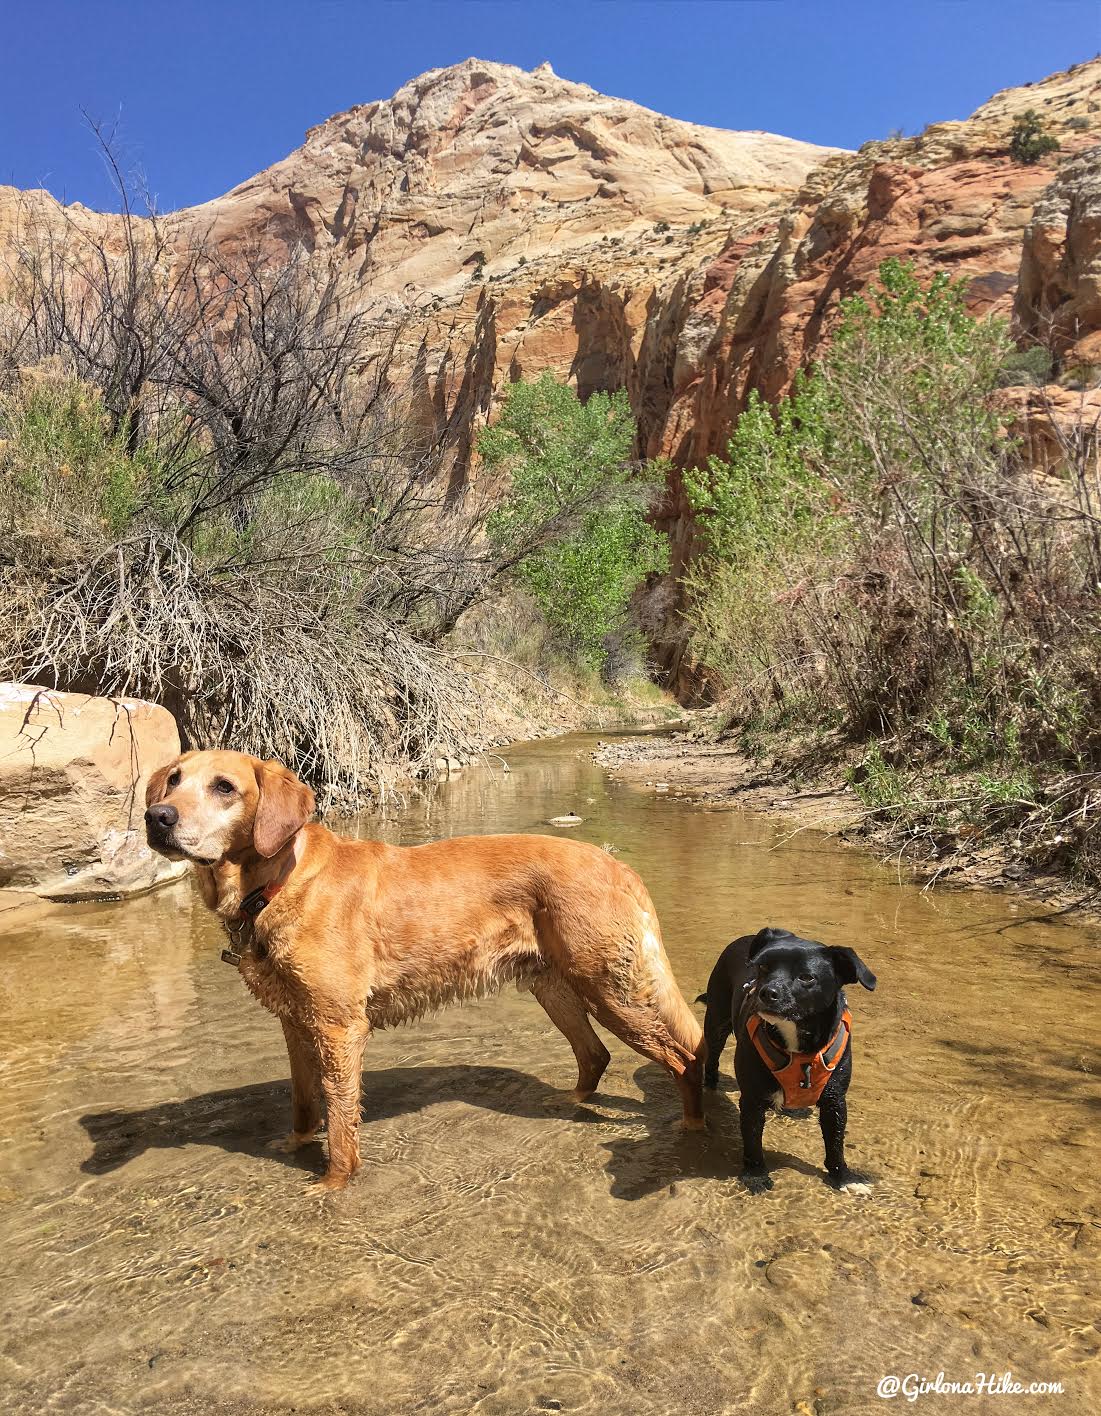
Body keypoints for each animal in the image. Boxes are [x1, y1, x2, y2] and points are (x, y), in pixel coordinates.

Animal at [145, 753, 704, 1183]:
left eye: (224, 787)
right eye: (173, 778)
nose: (157, 816)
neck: (277, 884)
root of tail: (617, 864)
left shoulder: (339, 1028)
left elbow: (341, 1124)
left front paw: (334, 1185)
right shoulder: (295, 1023)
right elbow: (304, 1103)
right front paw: (294, 1146)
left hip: (611, 990)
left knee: (682, 1058)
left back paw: (693, 1130)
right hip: (554, 987)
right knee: (594, 1055)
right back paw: (571, 1102)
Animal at [699, 928, 871, 1195]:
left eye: (807, 977)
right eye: (762, 967)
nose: (766, 992)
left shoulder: (835, 1101)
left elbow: (835, 1142)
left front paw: (843, 1177)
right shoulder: (752, 1100)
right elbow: (752, 1141)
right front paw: (756, 1176)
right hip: (717, 1022)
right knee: (712, 1061)